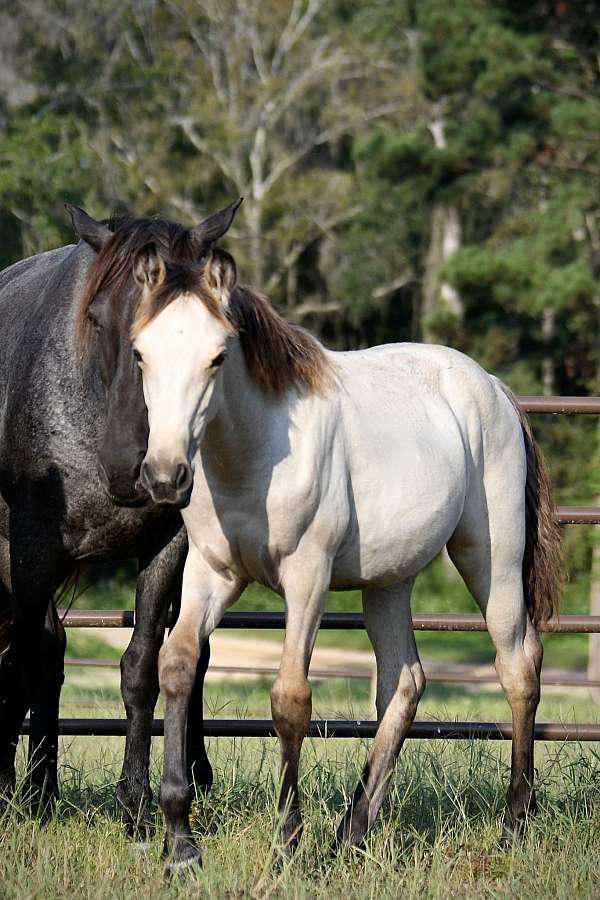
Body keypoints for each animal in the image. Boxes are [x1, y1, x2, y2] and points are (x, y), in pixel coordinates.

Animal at [0, 199, 241, 828]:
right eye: (99, 319)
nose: (132, 464)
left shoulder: (167, 546)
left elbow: (141, 667)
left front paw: (135, 800)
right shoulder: (32, 548)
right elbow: (23, 662)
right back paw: (31, 789)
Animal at [127, 244, 564, 872]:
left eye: (217, 357)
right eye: (140, 353)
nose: (165, 476)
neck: (255, 453)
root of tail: (493, 388)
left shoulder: (307, 576)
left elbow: (290, 699)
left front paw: (286, 845)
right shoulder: (211, 574)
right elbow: (179, 665)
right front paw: (181, 845)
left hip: (493, 561)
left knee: (518, 668)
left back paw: (512, 825)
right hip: (390, 580)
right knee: (405, 682)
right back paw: (350, 833)